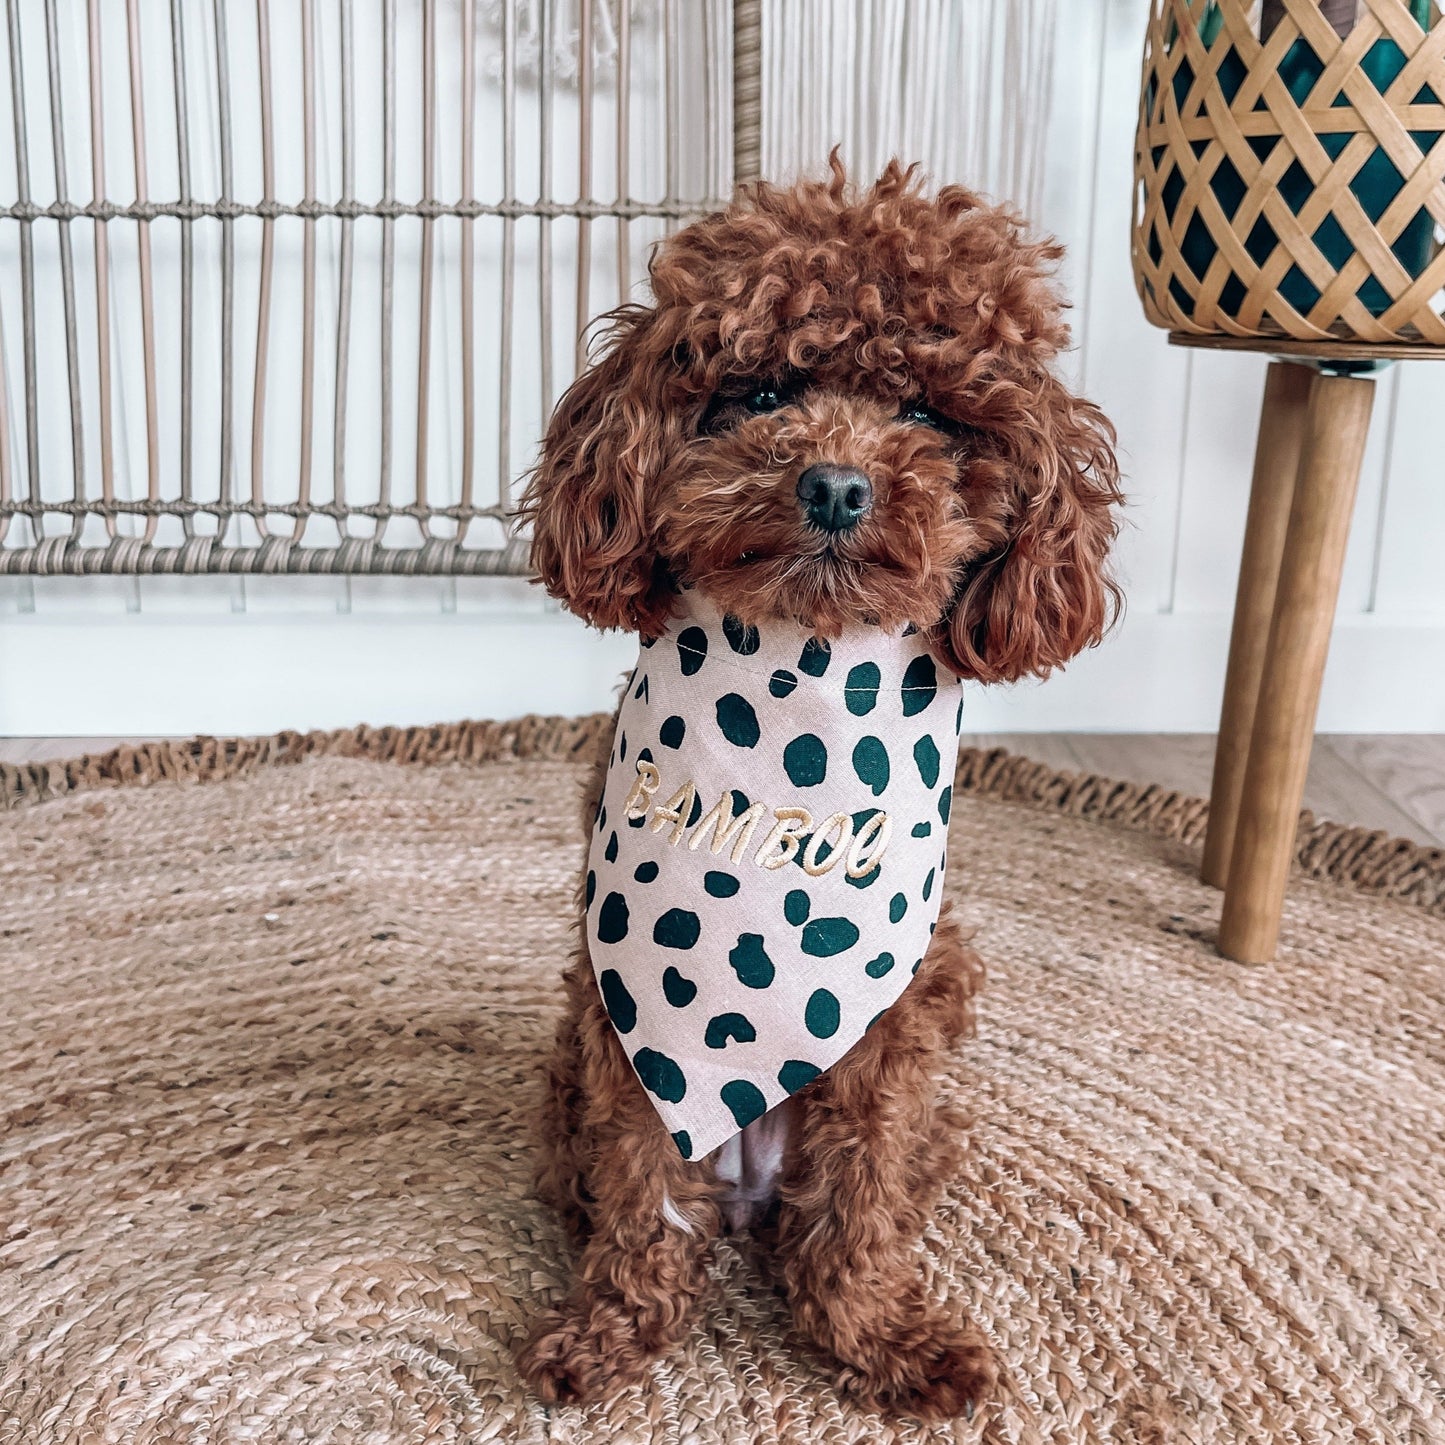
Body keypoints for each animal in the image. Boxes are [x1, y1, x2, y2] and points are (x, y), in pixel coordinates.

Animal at [514, 158, 1121, 1421]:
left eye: (928, 416)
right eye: (755, 392)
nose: (837, 486)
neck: (795, 673)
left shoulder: (892, 1041)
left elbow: (855, 1208)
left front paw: (881, 1339)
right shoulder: (628, 1041)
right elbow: (644, 1204)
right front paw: (609, 1333)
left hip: (931, 1101)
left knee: (826, 1212)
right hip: (563, 1088)